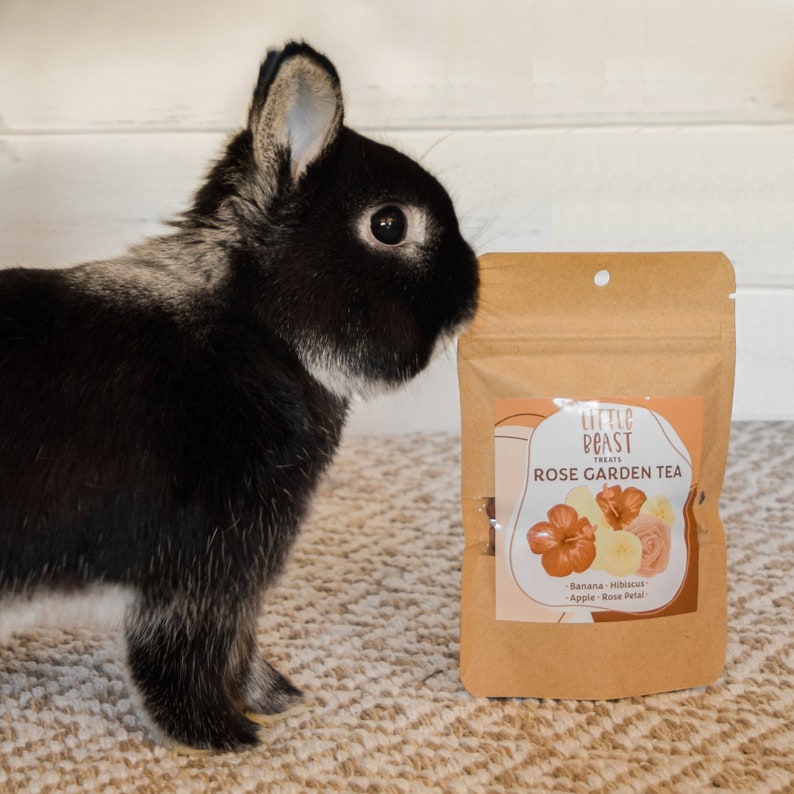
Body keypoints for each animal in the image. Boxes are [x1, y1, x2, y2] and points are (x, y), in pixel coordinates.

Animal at [0, 41, 479, 752]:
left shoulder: (232, 578)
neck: (257, 330)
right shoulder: (207, 571)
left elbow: (238, 648)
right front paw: (226, 736)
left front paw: (279, 699)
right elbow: (192, 656)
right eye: (389, 224)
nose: (473, 288)